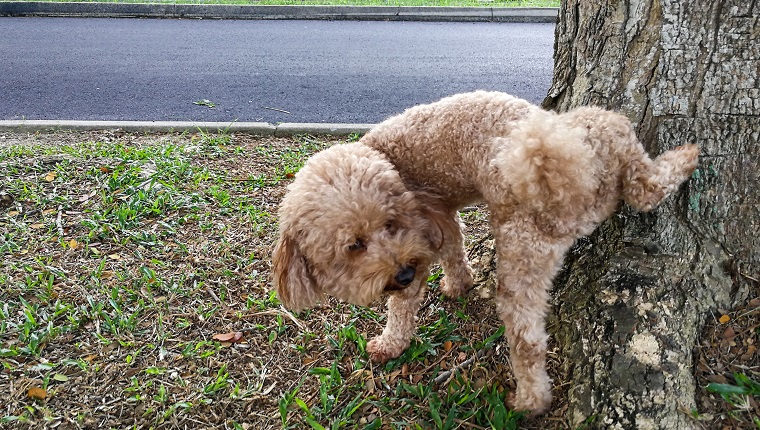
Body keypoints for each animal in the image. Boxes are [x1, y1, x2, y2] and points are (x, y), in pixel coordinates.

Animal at [270, 90, 696, 414]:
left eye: (389, 224)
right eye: (354, 246)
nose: (402, 273)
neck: (384, 156)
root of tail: (568, 175)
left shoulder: (423, 231)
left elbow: (404, 304)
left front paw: (391, 342)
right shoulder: (441, 221)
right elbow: (455, 250)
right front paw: (459, 285)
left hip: (536, 223)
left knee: (526, 343)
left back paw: (529, 403)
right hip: (608, 140)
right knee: (647, 188)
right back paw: (684, 159)